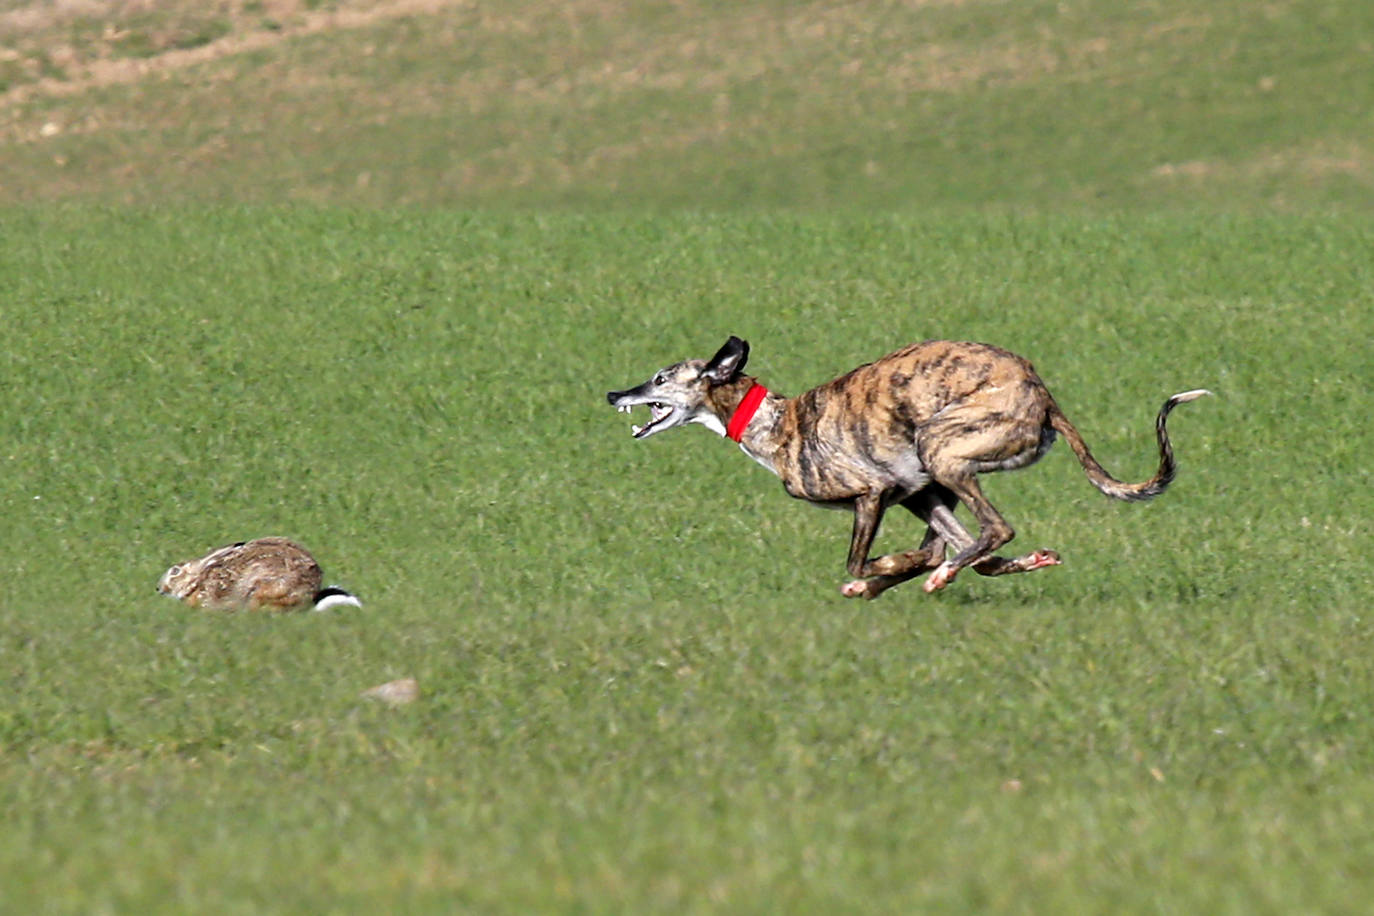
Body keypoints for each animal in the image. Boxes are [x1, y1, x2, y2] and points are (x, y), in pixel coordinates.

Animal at [607, 340, 1209, 598]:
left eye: (660, 378)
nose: (614, 393)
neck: (775, 420)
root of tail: (1041, 392)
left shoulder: (872, 492)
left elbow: (860, 561)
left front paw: (884, 572)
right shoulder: (917, 493)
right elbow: (933, 551)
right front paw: (896, 573)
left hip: (941, 446)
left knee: (994, 530)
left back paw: (939, 574)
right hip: (941, 472)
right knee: (984, 550)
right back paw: (1012, 562)